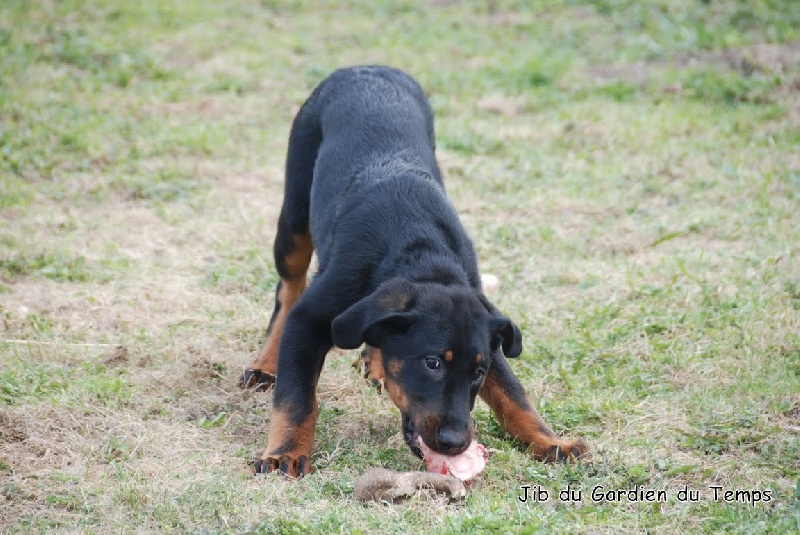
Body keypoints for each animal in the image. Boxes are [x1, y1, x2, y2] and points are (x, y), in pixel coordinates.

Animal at [239, 65, 588, 477]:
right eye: (432, 363)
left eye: (478, 372)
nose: (456, 444)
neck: (420, 252)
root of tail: (366, 66)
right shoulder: (310, 319)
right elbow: (296, 397)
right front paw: (286, 452)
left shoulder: (487, 331)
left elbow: (513, 393)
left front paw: (551, 442)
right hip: (294, 212)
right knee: (289, 285)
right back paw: (265, 365)